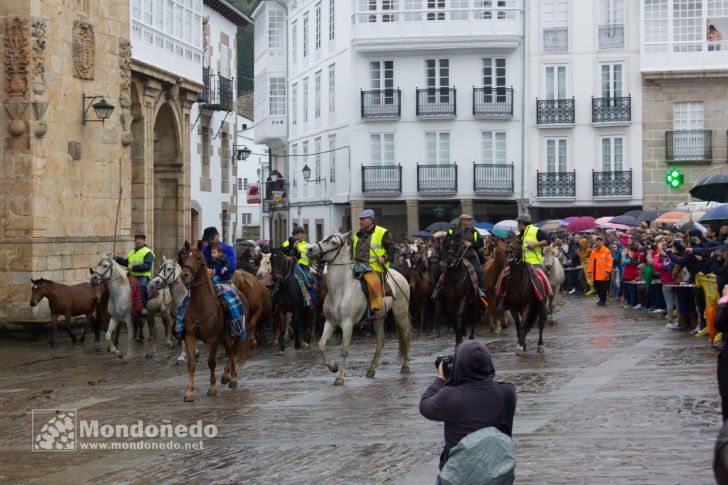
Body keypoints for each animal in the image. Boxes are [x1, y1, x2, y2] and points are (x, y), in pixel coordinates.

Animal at [179, 240, 250, 402]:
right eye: (184, 257)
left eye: (198, 258)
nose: (185, 275)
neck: (200, 305)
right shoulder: (190, 336)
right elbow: (191, 363)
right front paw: (189, 392)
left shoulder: (212, 339)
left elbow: (211, 362)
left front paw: (212, 387)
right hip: (223, 336)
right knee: (230, 351)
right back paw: (228, 376)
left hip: (236, 333)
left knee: (233, 352)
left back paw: (231, 378)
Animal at [306, 231, 412, 386]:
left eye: (333, 242)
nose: (309, 249)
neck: (341, 290)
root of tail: (400, 275)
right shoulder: (330, 323)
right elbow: (321, 346)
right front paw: (333, 367)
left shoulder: (347, 324)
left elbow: (344, 350)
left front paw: (340, 377)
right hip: (378, 318)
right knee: (380, 341)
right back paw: (371, 370)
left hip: (400, 313)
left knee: (405, 336)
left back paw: (405, 366)